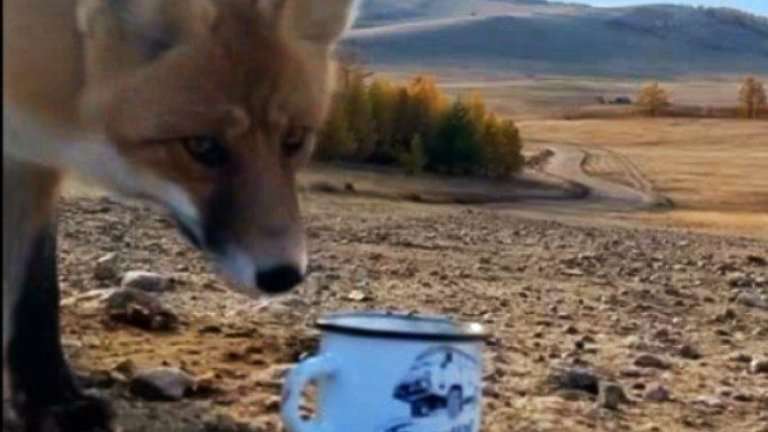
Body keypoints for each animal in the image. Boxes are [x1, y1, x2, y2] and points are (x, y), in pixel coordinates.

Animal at [3, 0, 359, 430]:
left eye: (293, 140)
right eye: (202, 146)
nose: (283, 275)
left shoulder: (34, 159)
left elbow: (37, 293)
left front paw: (52, 398)